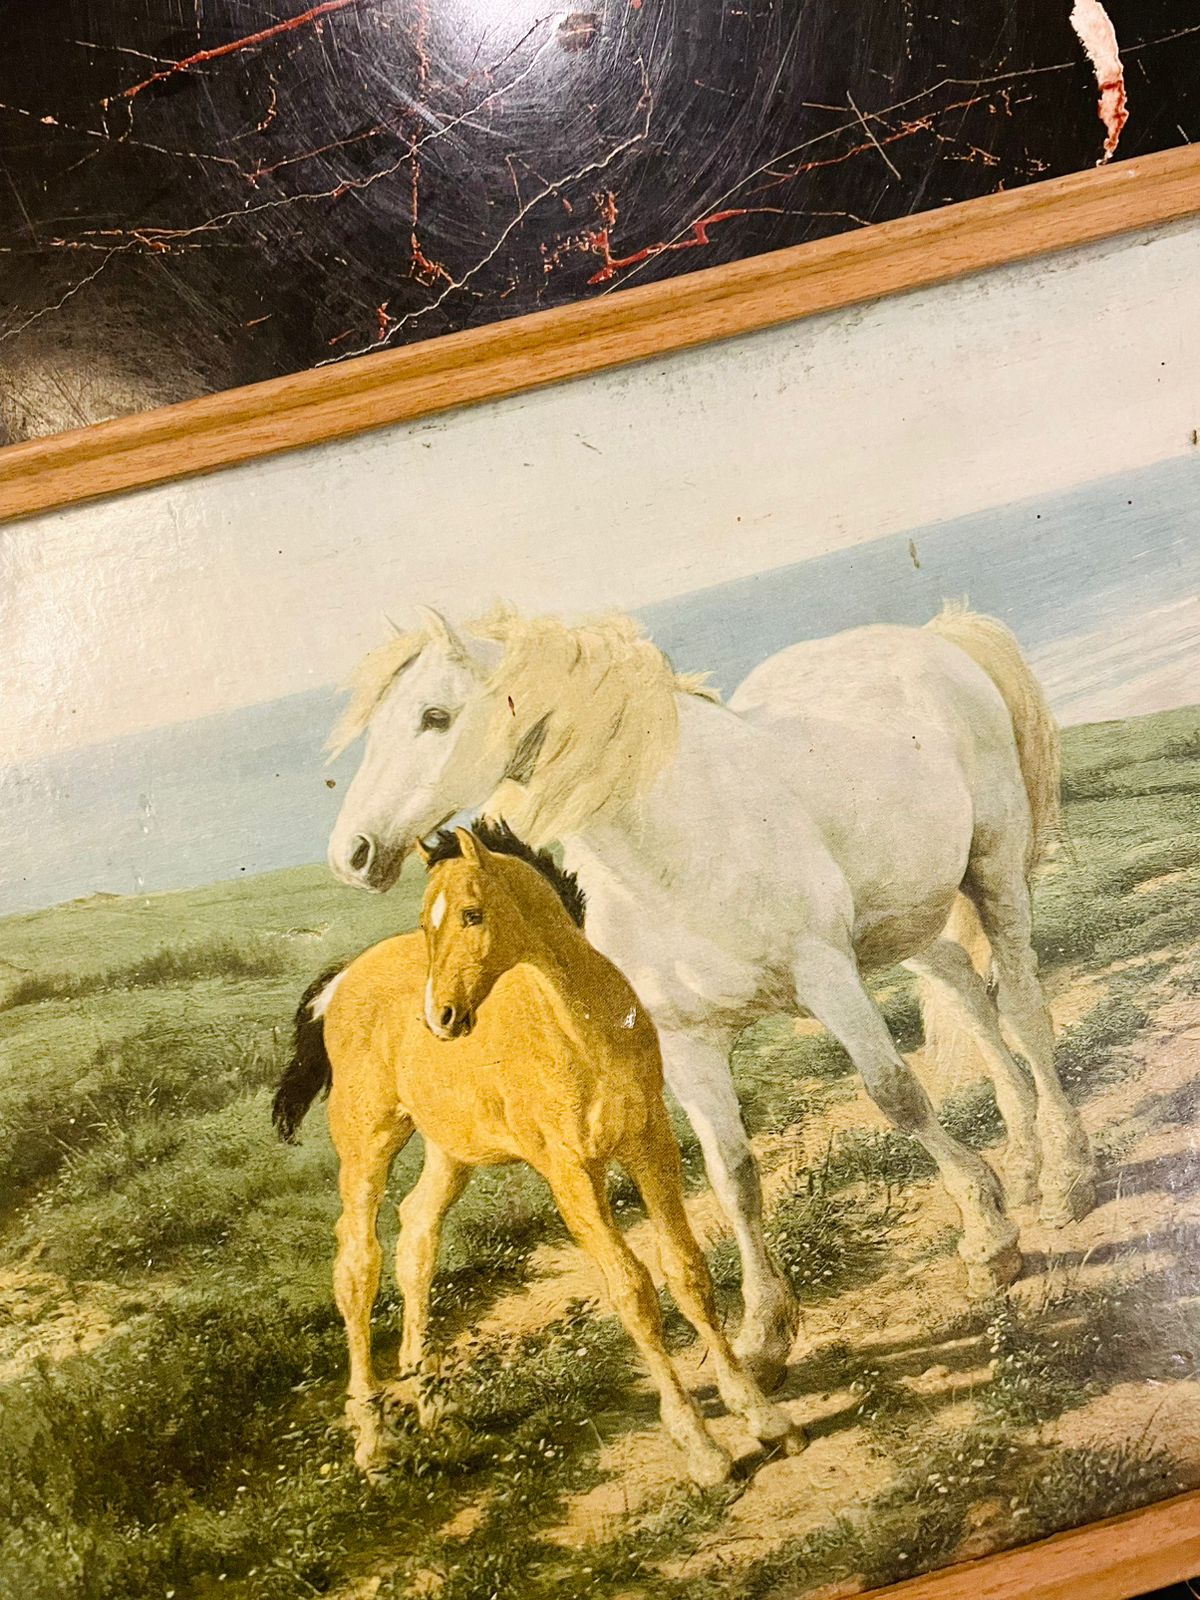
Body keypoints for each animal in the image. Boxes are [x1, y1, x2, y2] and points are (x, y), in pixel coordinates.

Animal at [272, 819, 802, 1482]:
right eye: (425, 921)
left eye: (471, 914)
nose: (440, 1018)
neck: (582, 1029)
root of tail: (340, 983)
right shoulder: (571, 1173)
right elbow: (632, 1291)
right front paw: (701, 1448)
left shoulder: (650, 1145)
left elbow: (687, 1271)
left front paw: (763, 1418)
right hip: (367, 1143)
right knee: (356, 1262)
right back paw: (373, 1442)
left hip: (451, 1148)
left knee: (417, 1234)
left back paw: (435, 1408)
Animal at [325, 601, 1096, 1388]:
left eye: (435, 716)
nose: (352, 853)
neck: (678, 848)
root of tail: (935, 638)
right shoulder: (687, 1040)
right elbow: (733, 1175)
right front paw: (762, 1333)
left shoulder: (828, 979)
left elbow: (899, 1098)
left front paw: (988, 1239)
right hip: (908, 924)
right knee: (968, 994)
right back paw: (1024, 1163)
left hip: (991, 871)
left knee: (1023, 1010)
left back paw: (1065, 1175)